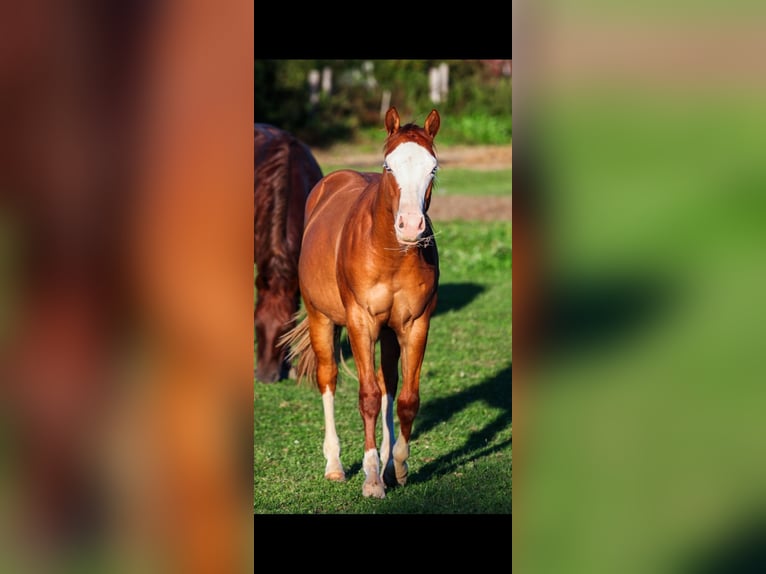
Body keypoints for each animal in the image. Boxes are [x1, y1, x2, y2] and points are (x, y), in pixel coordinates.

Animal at [281, 107, 441, 498]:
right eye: (388, 167)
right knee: (329, 379)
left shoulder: (416, 324)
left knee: (389, 386)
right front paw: (370, 479)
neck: (390, 254)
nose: (410, 226)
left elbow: (405, 399)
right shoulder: (360, 322)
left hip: (389, 334)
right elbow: (367, 396)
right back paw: (335, 465)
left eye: (432, 168)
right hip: (321, 319)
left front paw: (397, 468)